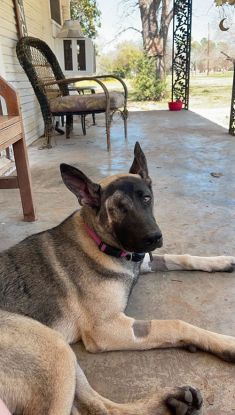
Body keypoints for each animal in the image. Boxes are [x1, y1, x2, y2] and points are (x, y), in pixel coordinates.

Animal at [0, 141, 235, 414]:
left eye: (147, 198)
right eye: (119, 209)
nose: (154, 237)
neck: (98, 240)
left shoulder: (145, 260)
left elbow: (183, 257)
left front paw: (220, 261)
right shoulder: (108, 328)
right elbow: (175, 324)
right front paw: (227, 343)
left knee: (101, 406)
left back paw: (174, 398)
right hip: (55, 348)